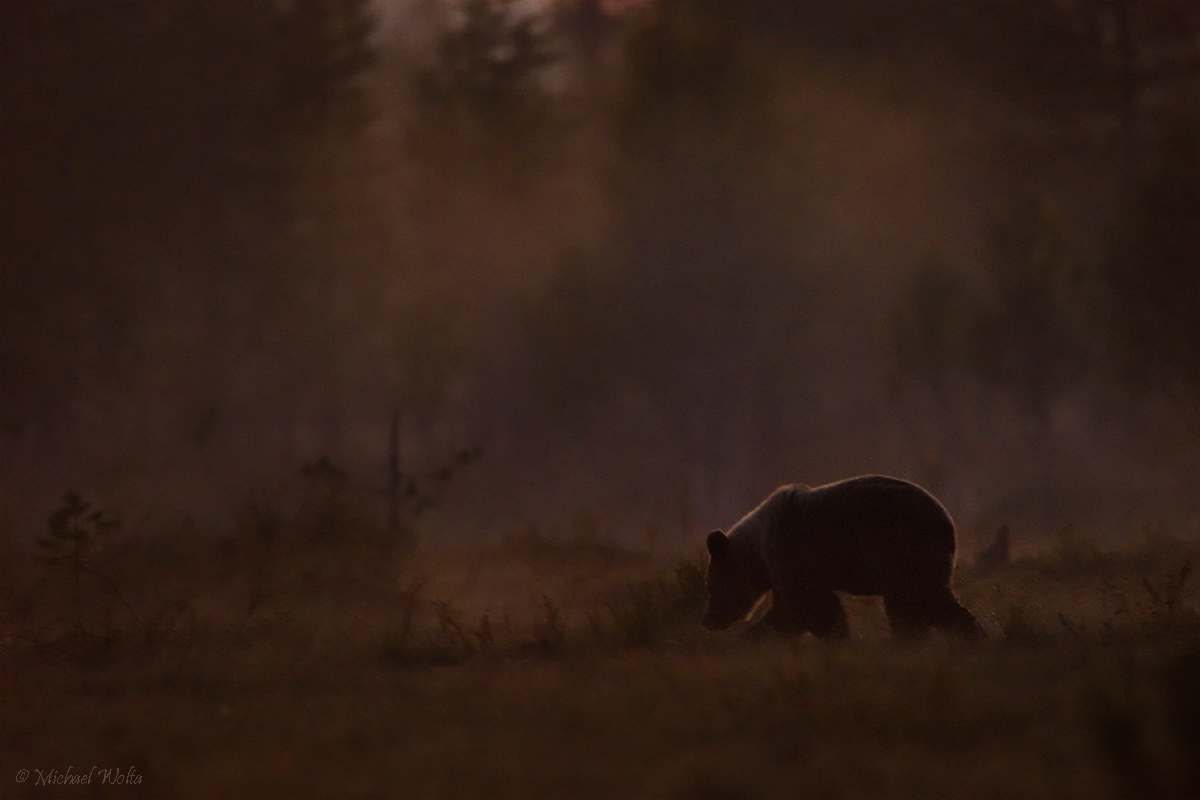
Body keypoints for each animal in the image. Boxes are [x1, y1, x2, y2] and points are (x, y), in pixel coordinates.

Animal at [705, 474, 979, 638]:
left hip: (900, 546)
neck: (758, 551)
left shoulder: (790, 554)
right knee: (906, 606)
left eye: (710, 586)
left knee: (925, 597)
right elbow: (786, 612)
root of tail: (947, 521)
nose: (709, 620)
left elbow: (810, 608)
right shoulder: (785, 570)